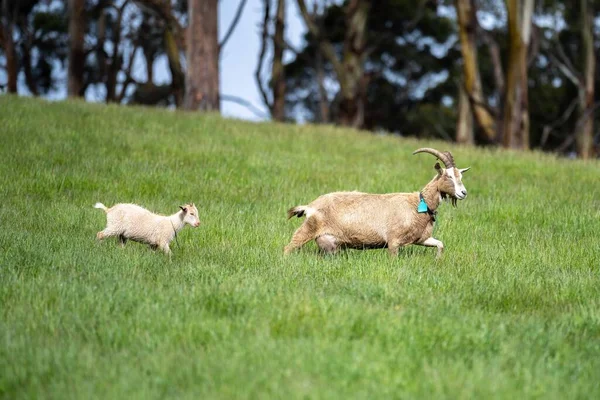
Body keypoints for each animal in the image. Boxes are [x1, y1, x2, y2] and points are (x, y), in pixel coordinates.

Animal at [284, 148, 472, 258]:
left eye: (460, 176)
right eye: (448, 176)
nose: (463, 193)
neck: (418, 204)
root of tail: (310, 206)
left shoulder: (421, 238)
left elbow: (440, 244)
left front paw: (438, 261)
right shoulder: (394, 241)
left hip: (330, 243)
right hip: (309, 228)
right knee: (289, 247)